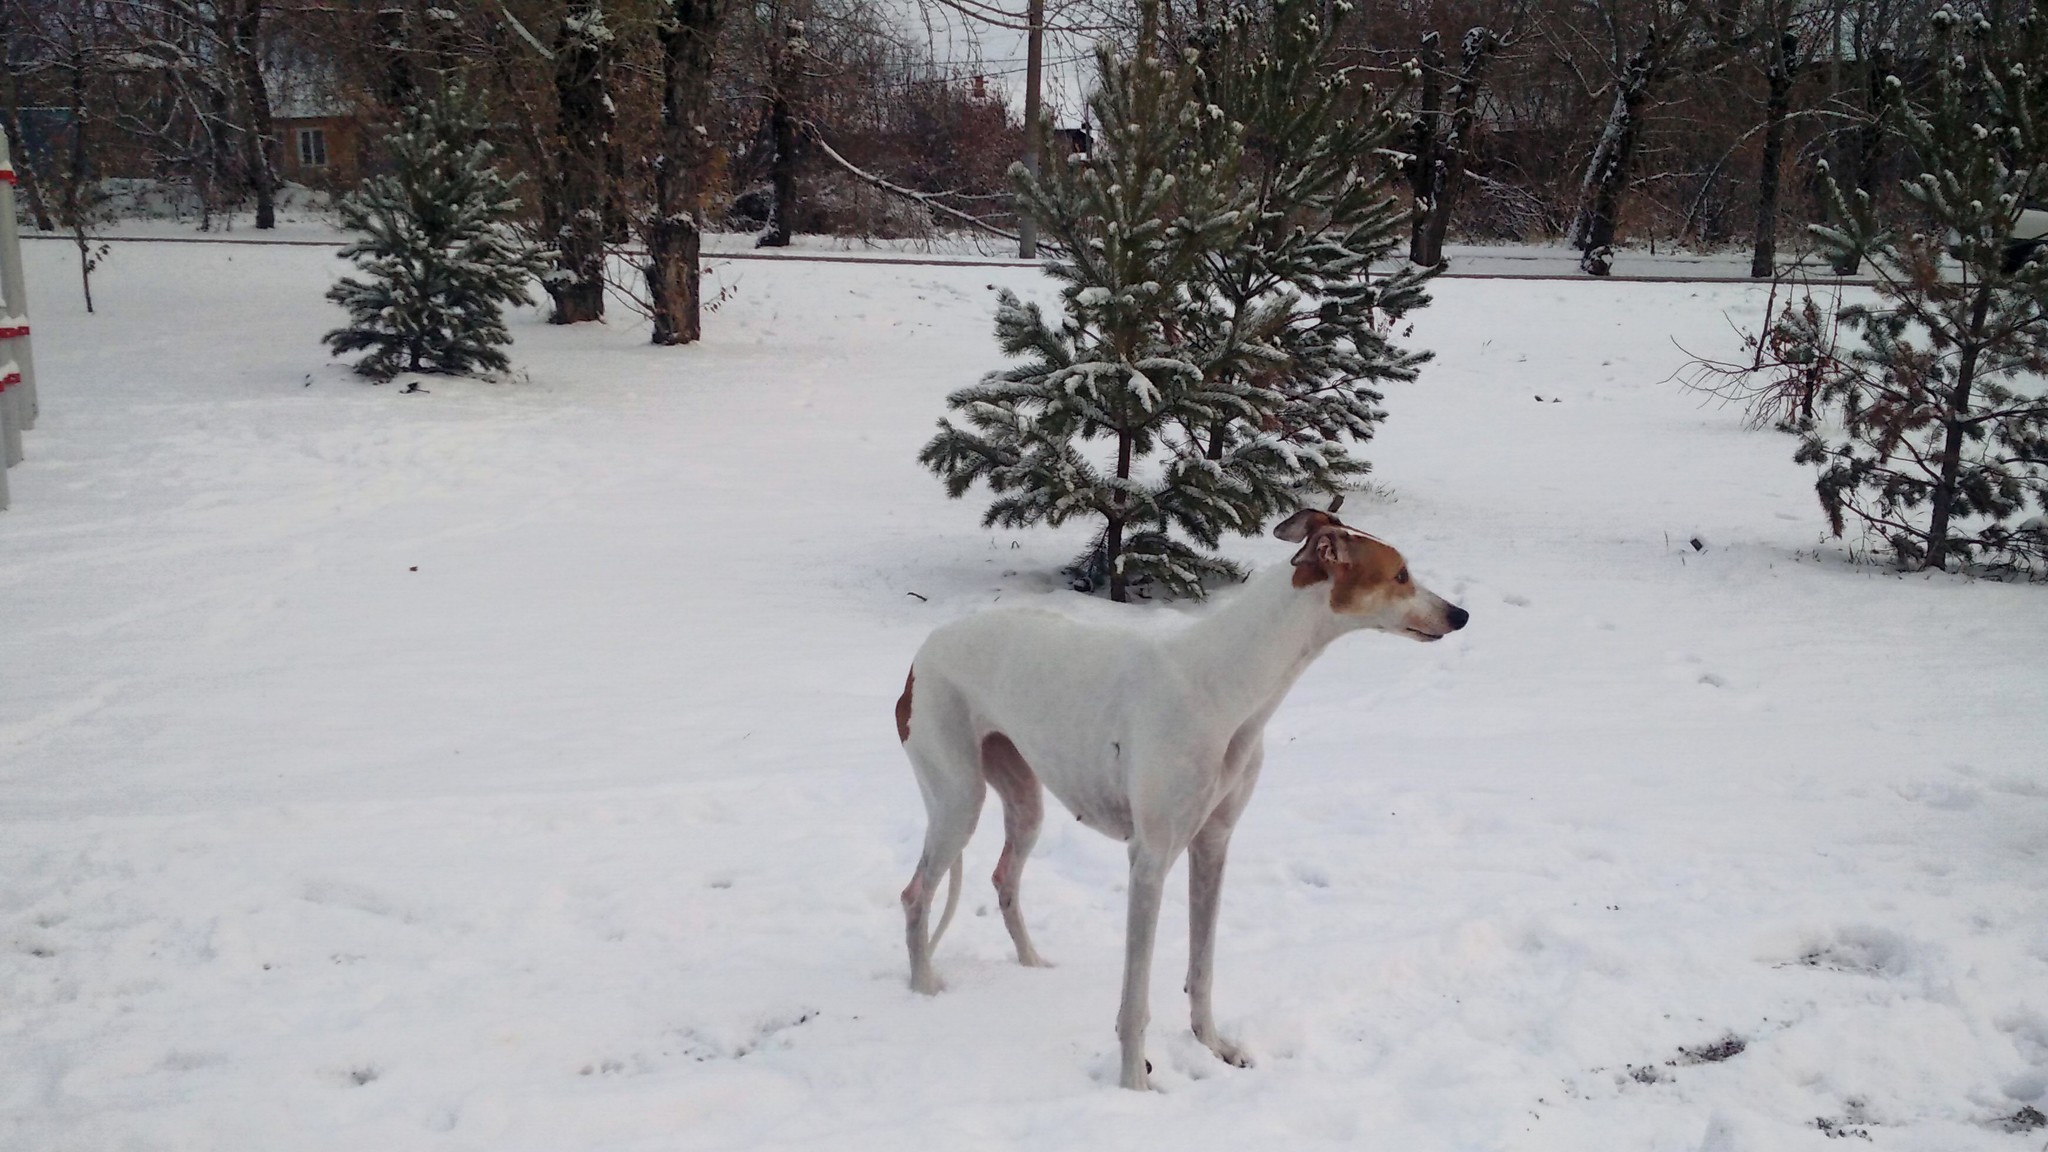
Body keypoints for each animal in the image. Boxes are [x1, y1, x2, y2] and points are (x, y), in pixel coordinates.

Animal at [888, 506, 1466, 1090]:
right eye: (1400, 575)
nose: (1461, 615)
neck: (1227, 681)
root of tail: (921, 655)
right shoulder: (1150, 860)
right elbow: (1135, 999)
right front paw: (1133, 1084)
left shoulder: (1212, 844)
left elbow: (1202, 967)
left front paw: (1215, 1046)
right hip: (959, 800)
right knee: (916, 895)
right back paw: (925, 987)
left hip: (1025, 801)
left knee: (1004, 878)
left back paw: (1032, 965)